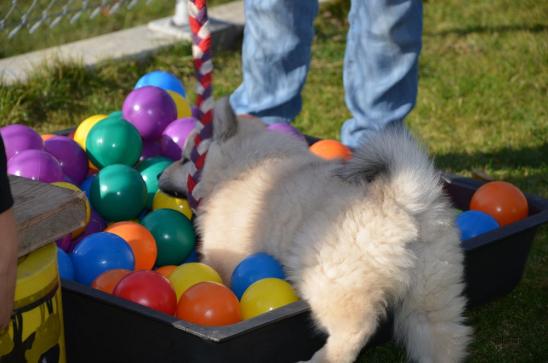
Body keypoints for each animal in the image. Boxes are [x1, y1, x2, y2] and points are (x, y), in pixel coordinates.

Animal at [157, 98, 470, 362]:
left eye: (186, 159)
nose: (159, 174)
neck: (239, 167)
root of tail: (400, 197)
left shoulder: (225, 255)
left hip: (334, 281)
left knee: (354, 331)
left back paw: (319, 359)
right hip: (433, 292)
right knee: (443, 337)